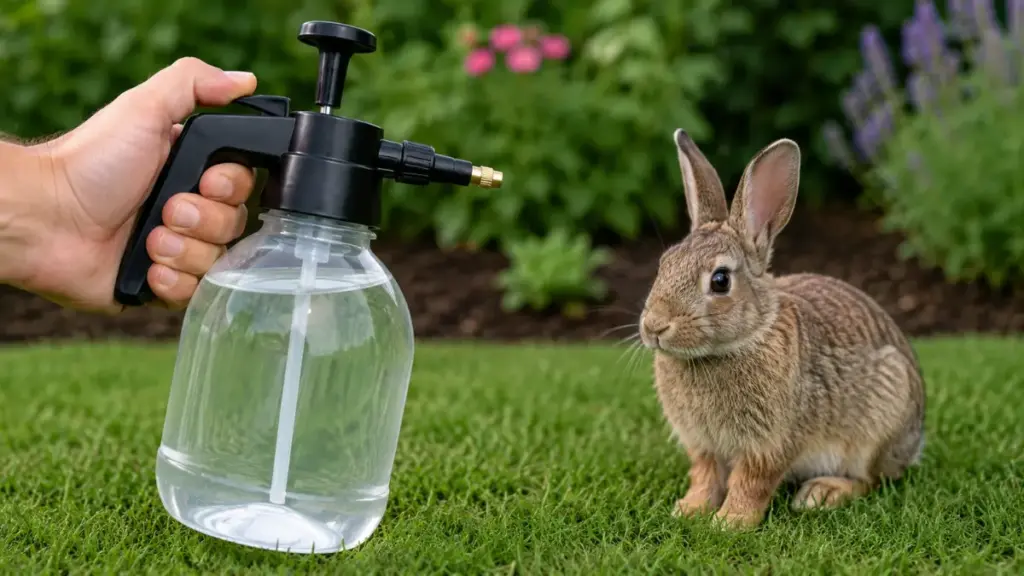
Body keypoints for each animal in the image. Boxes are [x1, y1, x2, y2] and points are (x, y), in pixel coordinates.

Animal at [638, 130, 926, 530]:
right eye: (664, 264)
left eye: (720, 280)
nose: (654, 326)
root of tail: (914, 444)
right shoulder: (703, 445)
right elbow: (705, 476)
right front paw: (690, 509)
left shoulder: (771, 443)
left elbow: (751, 481)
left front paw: (730, 522)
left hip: (880, 419)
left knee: (871, 479)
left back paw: (822, 493)